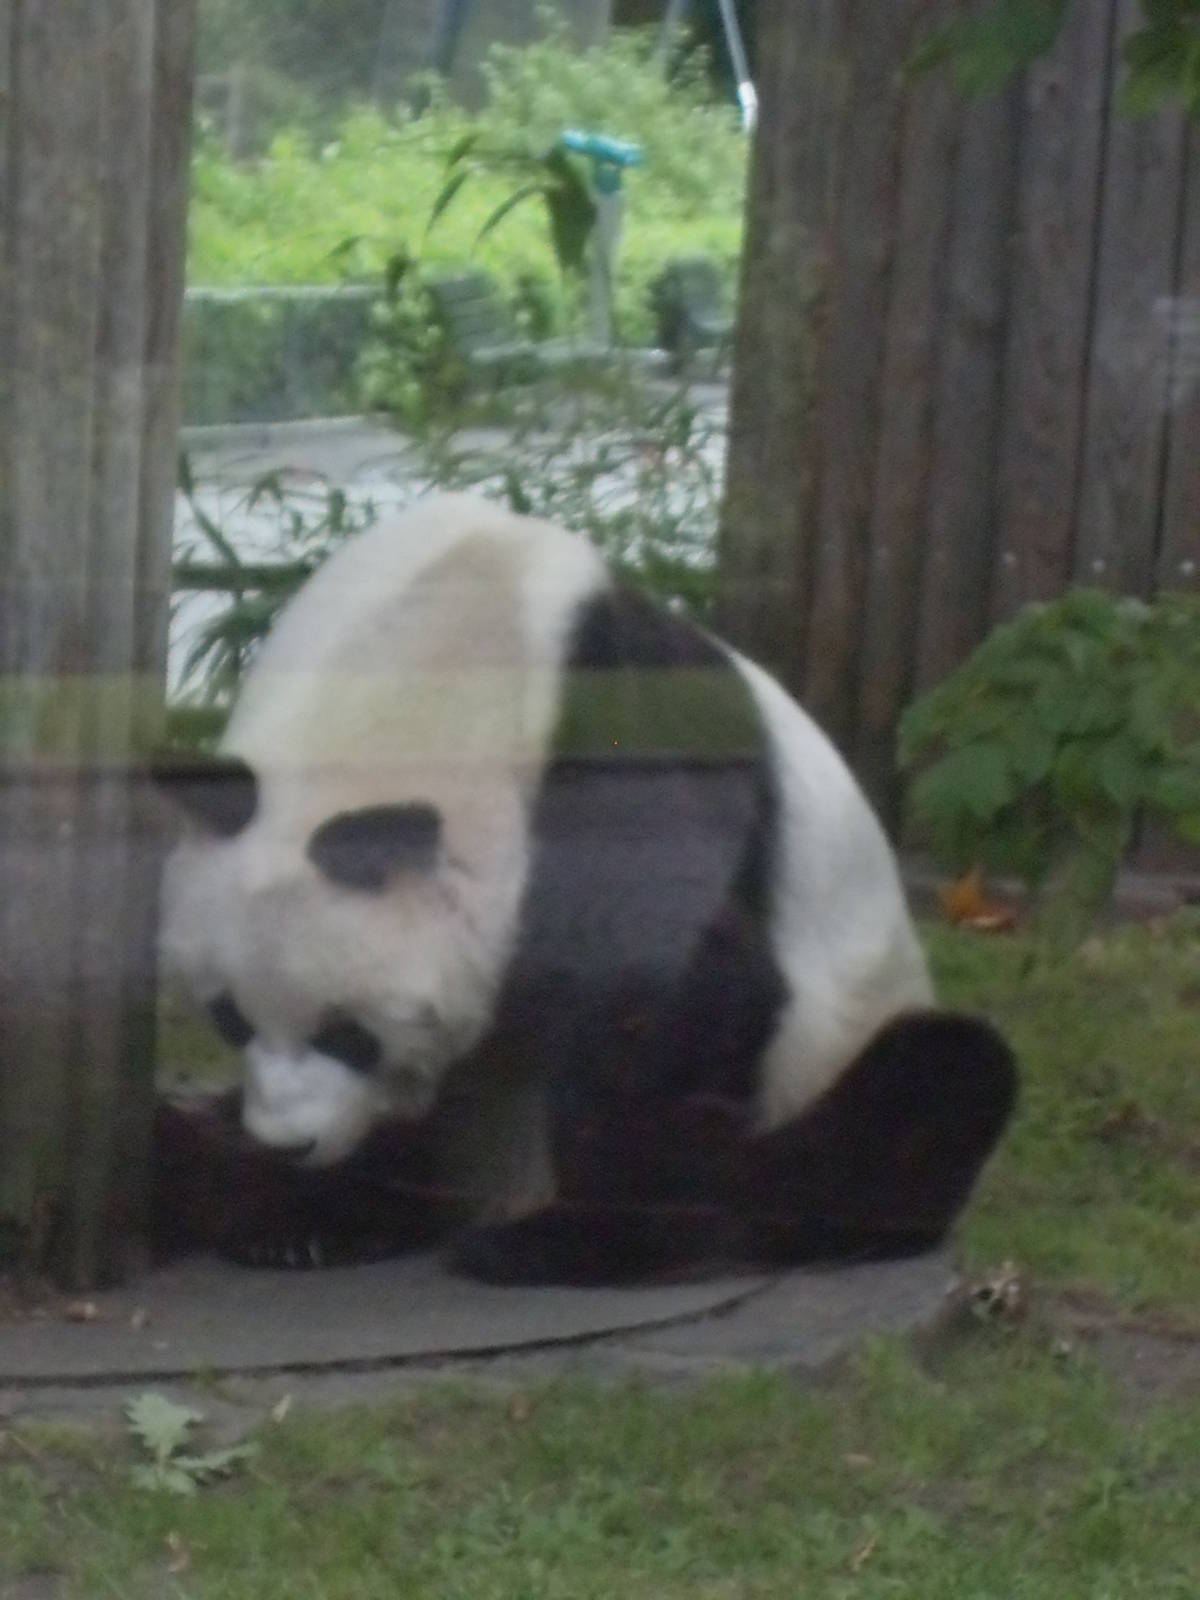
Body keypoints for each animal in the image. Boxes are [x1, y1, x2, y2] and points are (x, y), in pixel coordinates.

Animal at [152, 493, 1016, 1285]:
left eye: (348, 1034)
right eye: (229, 1019)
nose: (291, 1144)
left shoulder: (610, 744)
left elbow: (684, 998)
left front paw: (578, 1240)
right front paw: (313, 1212)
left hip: (839, 1048)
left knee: (934, 1086)